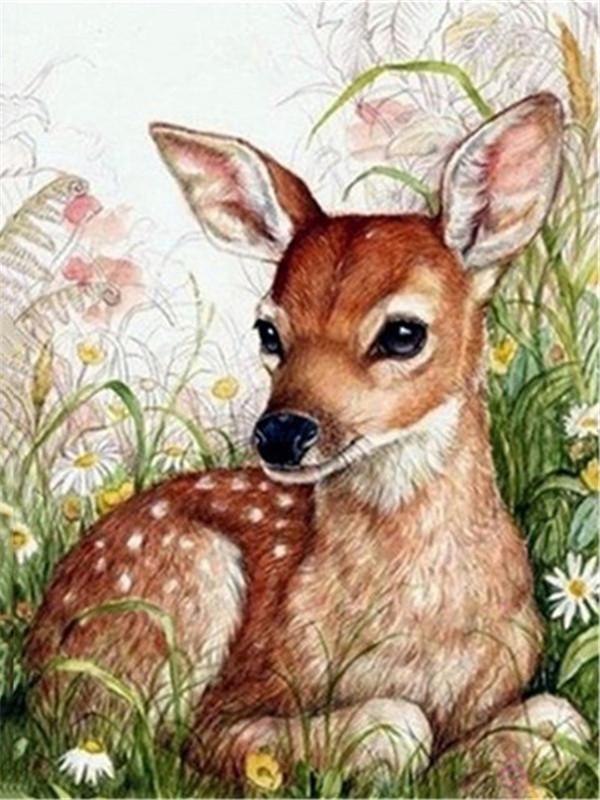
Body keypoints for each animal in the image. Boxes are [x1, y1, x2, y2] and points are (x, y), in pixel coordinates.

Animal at [26, 93, 590, 792]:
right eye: (268, 331)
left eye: (403, 333)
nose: (281, 431)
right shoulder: (227, 710)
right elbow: (398, 727)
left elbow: (564, 719)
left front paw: (480, 765)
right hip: (181, 578)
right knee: (112, 742)